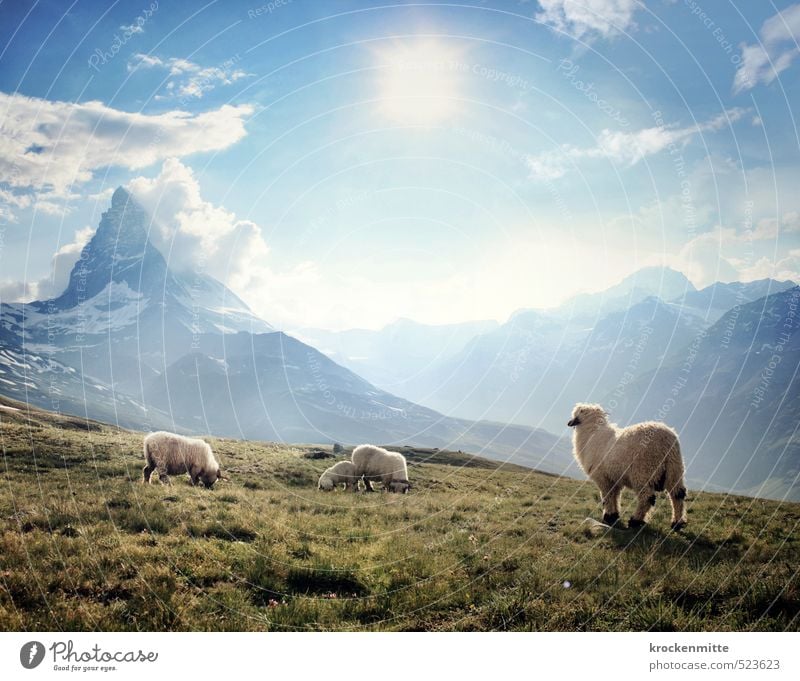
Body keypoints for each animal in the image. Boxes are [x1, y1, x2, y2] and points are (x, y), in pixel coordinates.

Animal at [568, 404, 688, 532]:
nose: (569, 422)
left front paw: (608, 516)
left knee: (647, 497)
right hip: (674, 469)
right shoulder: (614, 478)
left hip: (643, 471)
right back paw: (677, 523)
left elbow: (607, 496)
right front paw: (613, 515)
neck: (591, 433)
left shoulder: (602, 477)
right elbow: (615, 496)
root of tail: (668, 440)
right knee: (677, 495)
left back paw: (635, 521)